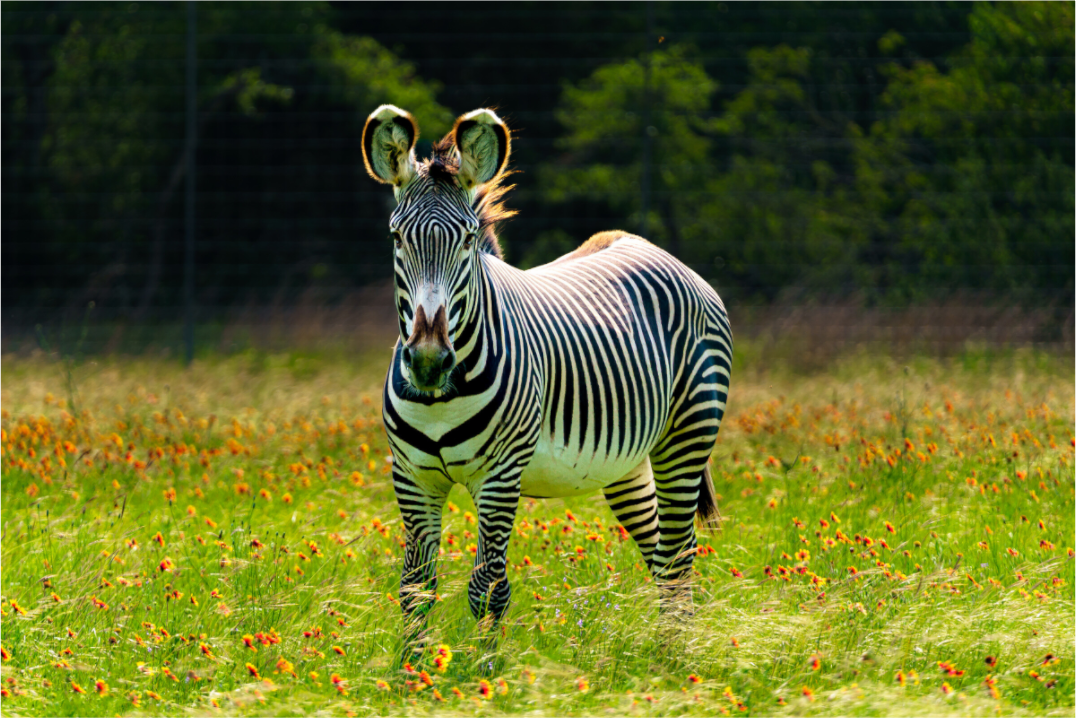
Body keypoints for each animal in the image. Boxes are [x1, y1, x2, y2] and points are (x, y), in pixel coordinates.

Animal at [362, 104, 732, 628]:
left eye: (467, 240)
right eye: (396, 237)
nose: (429, 361)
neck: (440, 400)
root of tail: (644, 243)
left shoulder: (500, 476)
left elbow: (488, 589)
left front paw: (483, 653)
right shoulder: (413, 477)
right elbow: (415, 589)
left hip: (687, 435)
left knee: (678, 558)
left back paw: (680, 651)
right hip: (627, 462)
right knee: (662, 559)